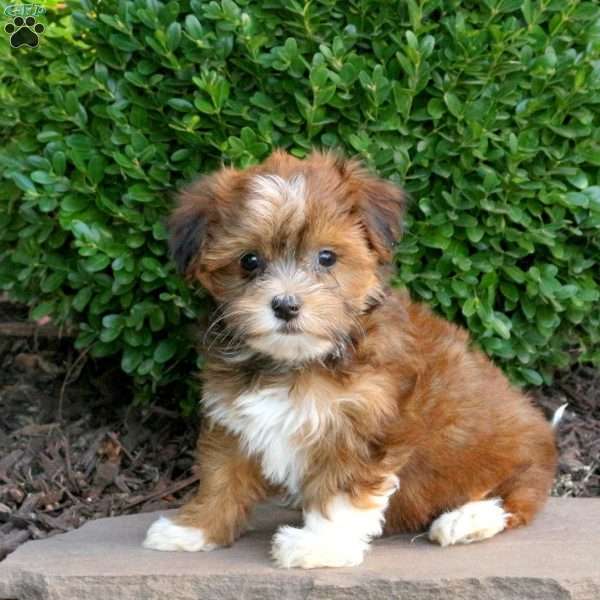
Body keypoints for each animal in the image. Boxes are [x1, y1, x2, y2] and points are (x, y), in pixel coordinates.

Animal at [142, 149, 556, 568]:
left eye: (327, 257)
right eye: (250, 261)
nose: (286, 305)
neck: (297, 362)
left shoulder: (361, 426)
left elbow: (340, 492)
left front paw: (318, 545)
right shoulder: (233, 419)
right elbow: (221, 476)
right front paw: (193, 528)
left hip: (513, 460)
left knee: (515, 500)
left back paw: (466, 520)